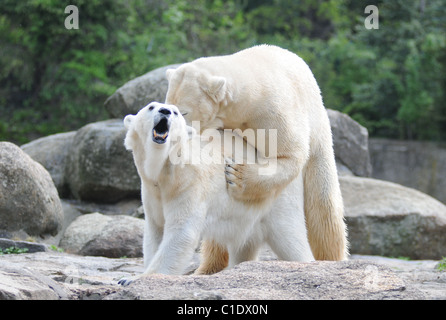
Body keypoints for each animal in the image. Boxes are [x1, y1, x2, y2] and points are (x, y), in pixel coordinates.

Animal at [118, 100, 314, 284]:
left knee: (291, 239)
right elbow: (156, 230)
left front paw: (132, 279)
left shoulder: (189, 183)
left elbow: (181, 232)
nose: (165, 111)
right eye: (151, 107)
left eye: (175, 112)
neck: (165, 169)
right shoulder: (151, 190)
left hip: (276, 199)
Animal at [164, 44, 348, 260]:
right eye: (169, 105)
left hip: (318, 131)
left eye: (183, 111)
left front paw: (237, 175)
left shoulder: (272, 112)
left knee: (324, 206)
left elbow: (289, 155)